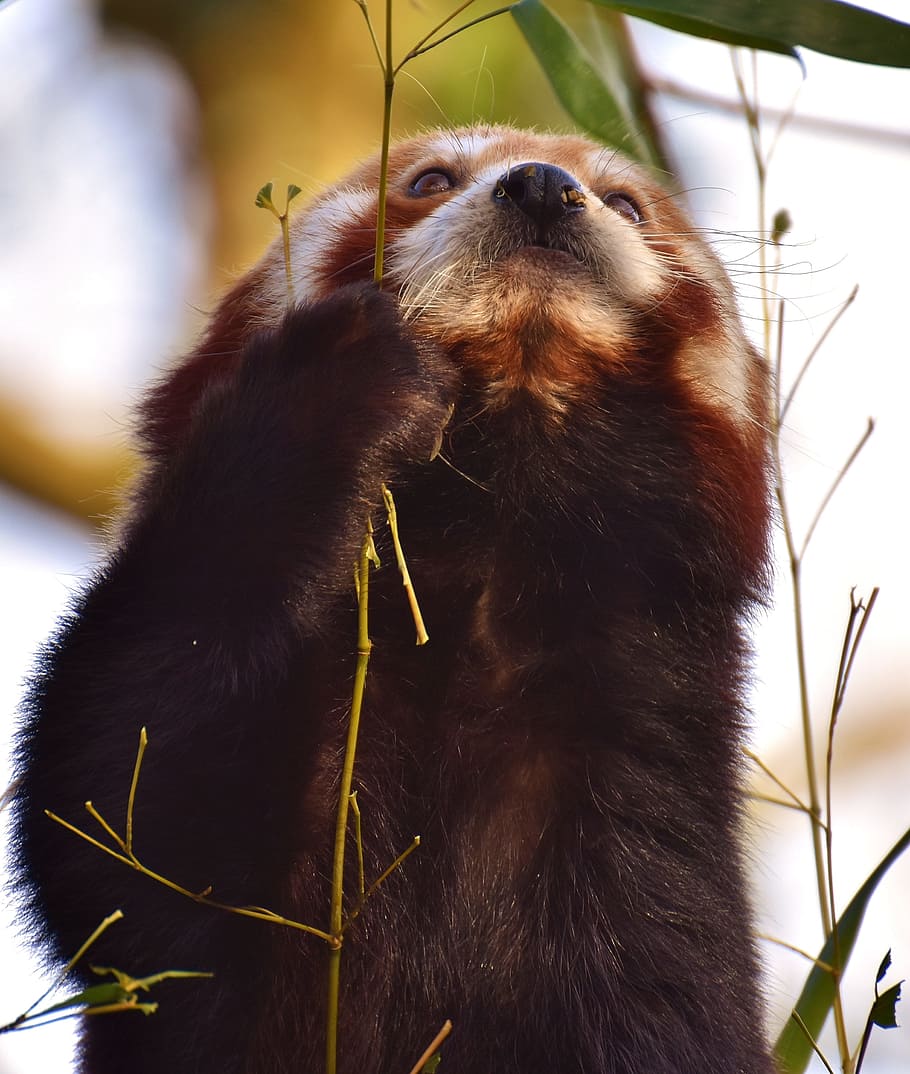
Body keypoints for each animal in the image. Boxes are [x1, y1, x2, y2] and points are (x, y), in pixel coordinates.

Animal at [15, 127, 777, 1074]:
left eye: (628, 205)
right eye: (429, 180)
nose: (541, 186)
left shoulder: (647, 792)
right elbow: (119, 821)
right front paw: (330, 388)